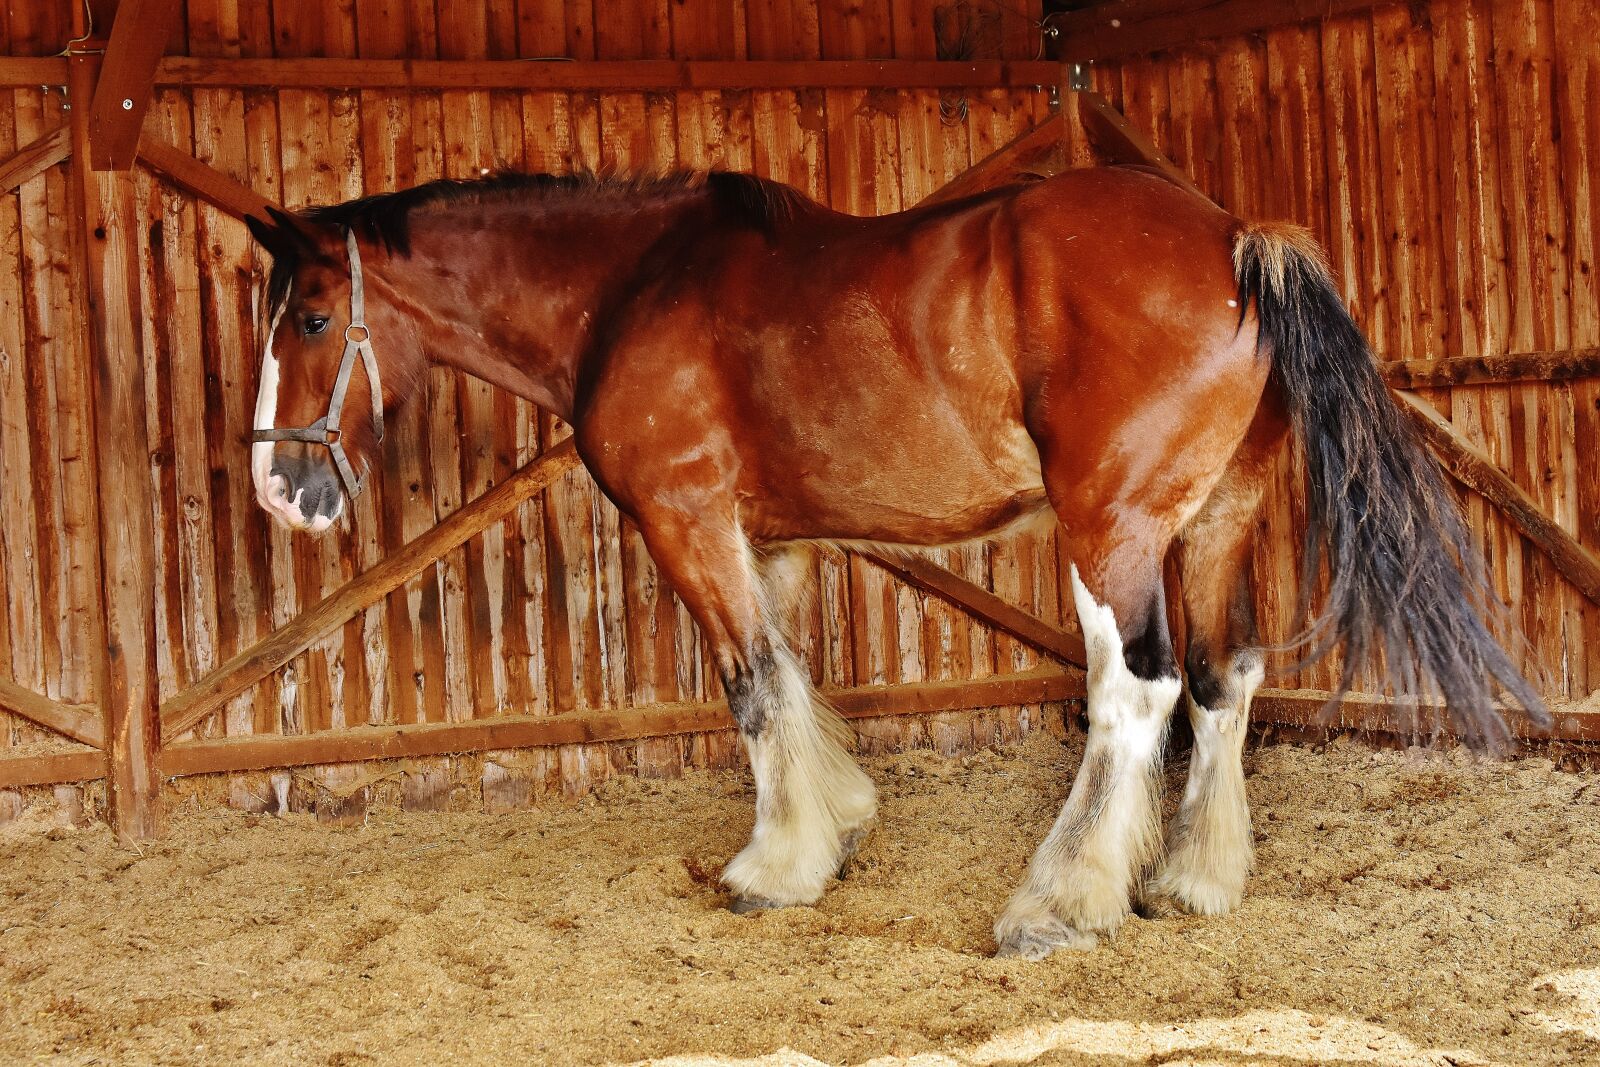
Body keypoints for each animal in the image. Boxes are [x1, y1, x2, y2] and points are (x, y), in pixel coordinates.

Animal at [244, 166, 1547, 959]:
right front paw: (837, 821)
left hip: (1113, 528)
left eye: (310, 317)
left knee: (1139, 688)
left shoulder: (686, 519)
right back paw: (1192, 878)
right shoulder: (770, 538)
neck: (633, 288)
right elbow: (792, 674)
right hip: (1214, 521)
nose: (274, 489)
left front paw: (773, 864)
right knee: (1227, 677)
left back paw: (1060, 899)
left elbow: (751, 688)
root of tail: (1234, 241)